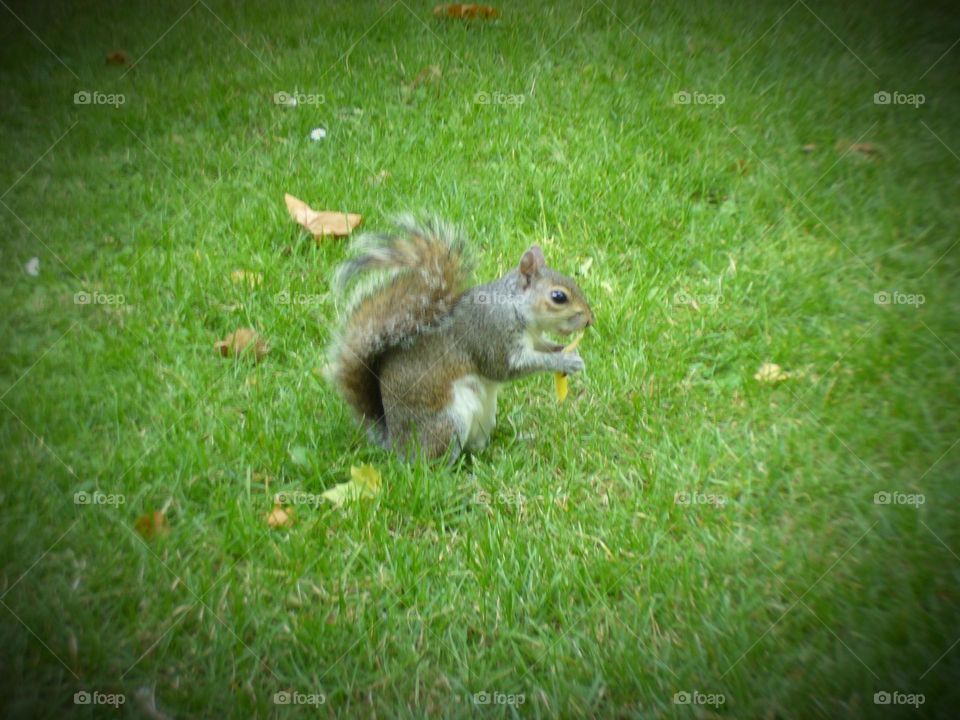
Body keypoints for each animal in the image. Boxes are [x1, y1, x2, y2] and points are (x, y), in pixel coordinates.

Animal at [326, 215, 594, 462]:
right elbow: (505, 369)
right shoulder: (490, 335)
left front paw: (566, 351)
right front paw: (565, 361)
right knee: (433, 462)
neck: (515, 308)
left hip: (484, 416)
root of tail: (396, 445)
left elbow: (543, 347)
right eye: (558, 297)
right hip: (447, 423)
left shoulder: (532, 339)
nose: (590, 320)